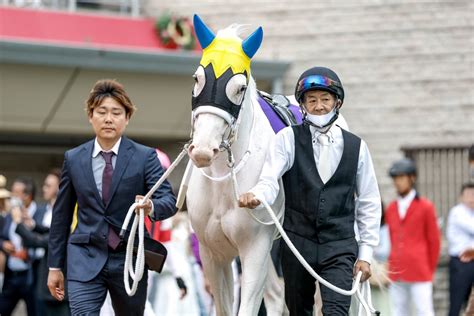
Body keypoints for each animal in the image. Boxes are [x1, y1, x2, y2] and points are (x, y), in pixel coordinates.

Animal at [185, 15, 284, 316]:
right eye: (197, 78)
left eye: (240, 87)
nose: (203, 150)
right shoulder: (213, 254)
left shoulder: (255, 251)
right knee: (276, 294)